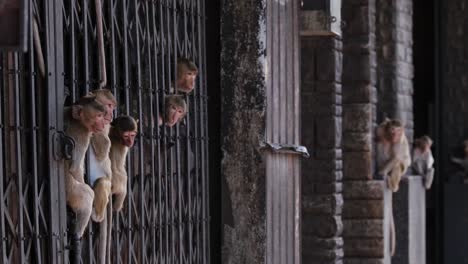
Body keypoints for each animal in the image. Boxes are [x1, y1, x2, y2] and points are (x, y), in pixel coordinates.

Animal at [64, 94, 106, 237]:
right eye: (98, 116)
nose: (103, 123)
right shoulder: (81, 134)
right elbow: (75, 168)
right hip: (70, 190)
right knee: (87, 194)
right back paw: (77, 233)